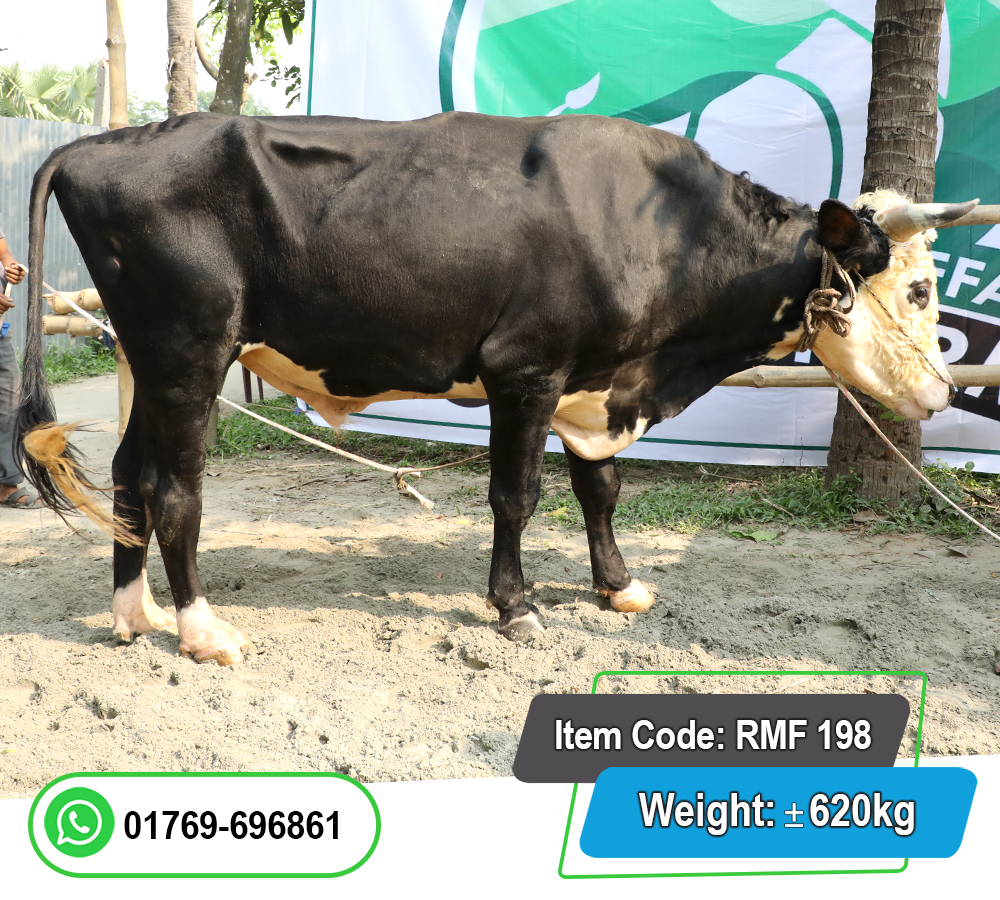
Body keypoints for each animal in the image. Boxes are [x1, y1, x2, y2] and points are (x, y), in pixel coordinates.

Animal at [15, 111, 990, 665]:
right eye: (917, 288)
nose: (945, 393)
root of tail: (101, 143)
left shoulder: (592, 387)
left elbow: (601, 489)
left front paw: (618, 588)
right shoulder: (527, 369)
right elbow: (516, 496)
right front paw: (516, 609)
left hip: (154, 361)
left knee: (130, 476)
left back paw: (133, 615)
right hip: (189, 351)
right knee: (177, 490)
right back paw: (201, 631)